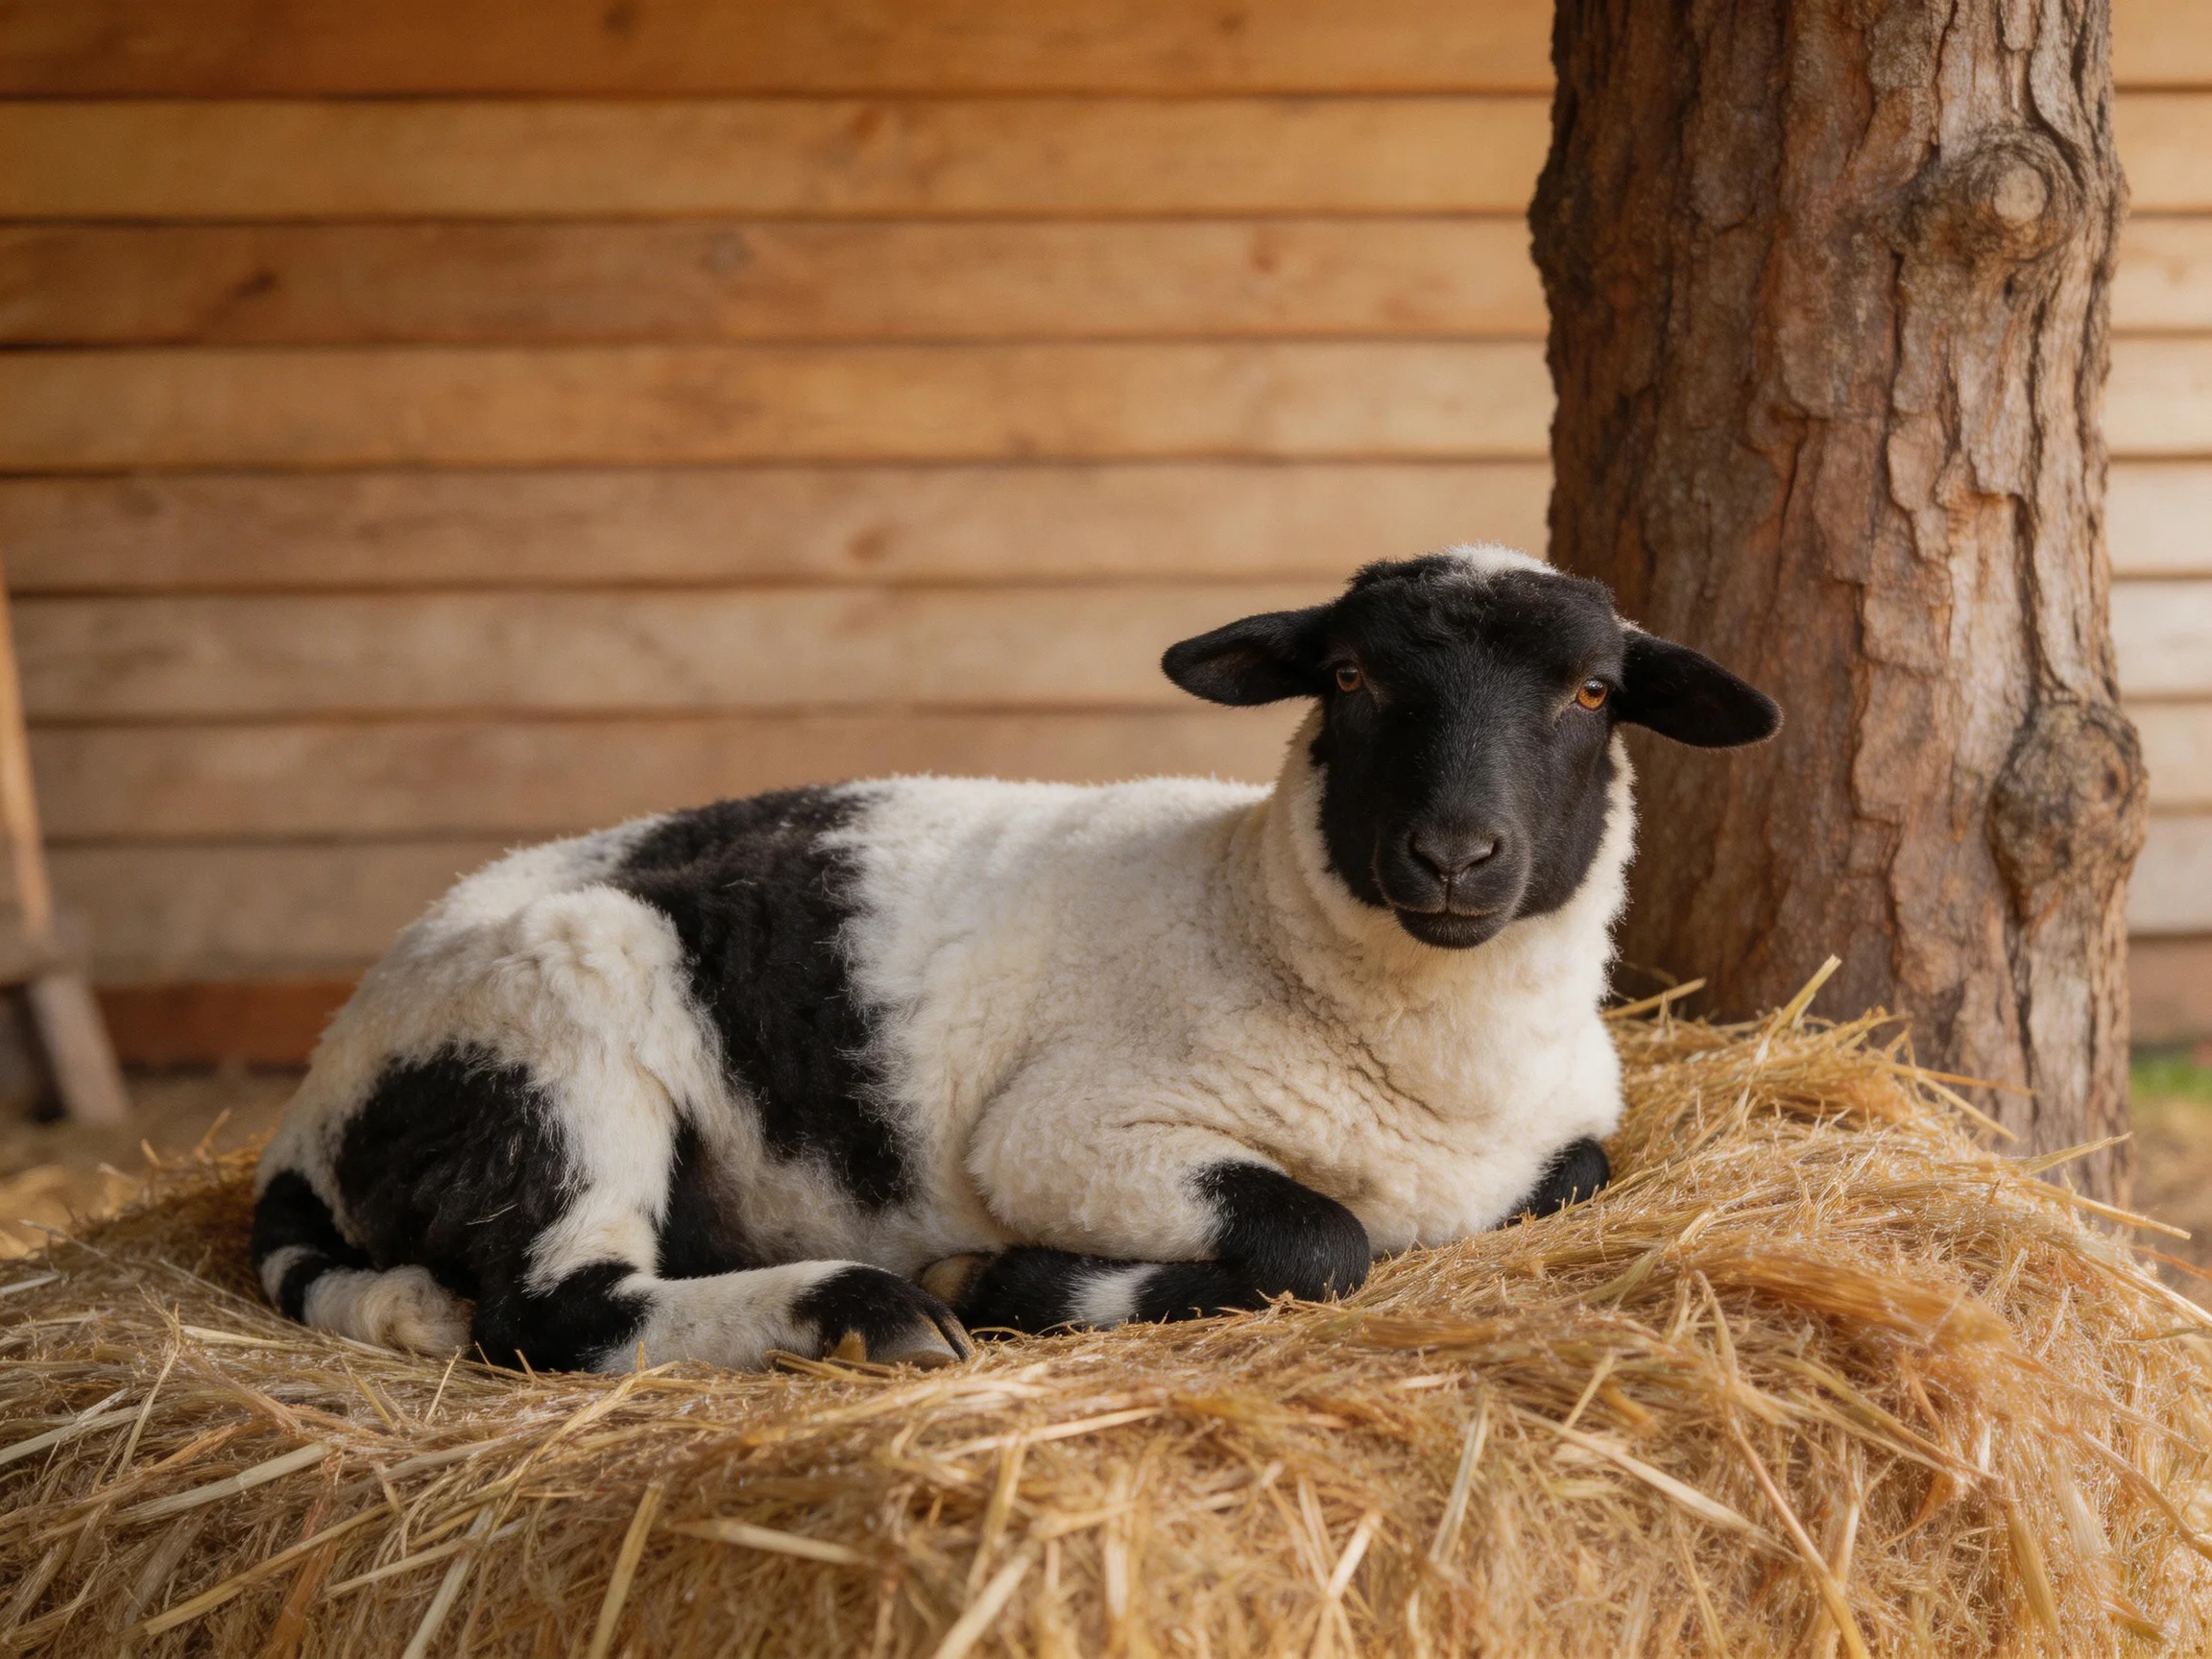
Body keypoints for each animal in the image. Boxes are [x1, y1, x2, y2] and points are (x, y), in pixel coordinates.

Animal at [251, 545, 1780, 1371]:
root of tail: (318, 1093)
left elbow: (1577, 1176)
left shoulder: (1569, 1135)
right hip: (555, 1053)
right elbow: (1321, 1240)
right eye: (1349, 679)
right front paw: (993, 1286)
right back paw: (862, 1309)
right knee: (552, 1311)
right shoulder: (1069, 1135)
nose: (1455, 855)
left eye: (1592, 691)